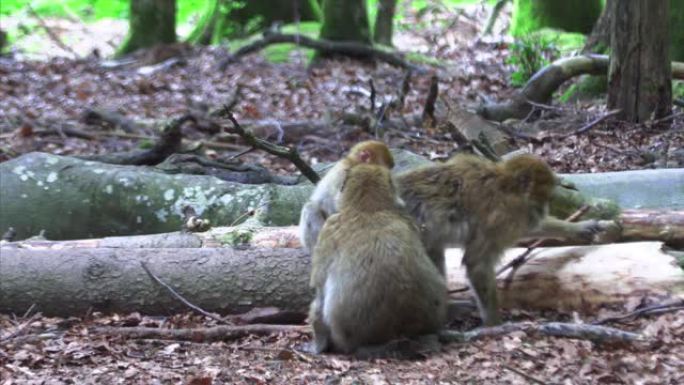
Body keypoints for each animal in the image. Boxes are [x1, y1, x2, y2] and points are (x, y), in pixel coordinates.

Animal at [396, 153, 604, 324]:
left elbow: (532, 227)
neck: (507, 186)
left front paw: (579, 228)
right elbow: (477, 264)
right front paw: (494, 325)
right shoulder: (503, 217)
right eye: (545, 197)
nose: (543, 210)